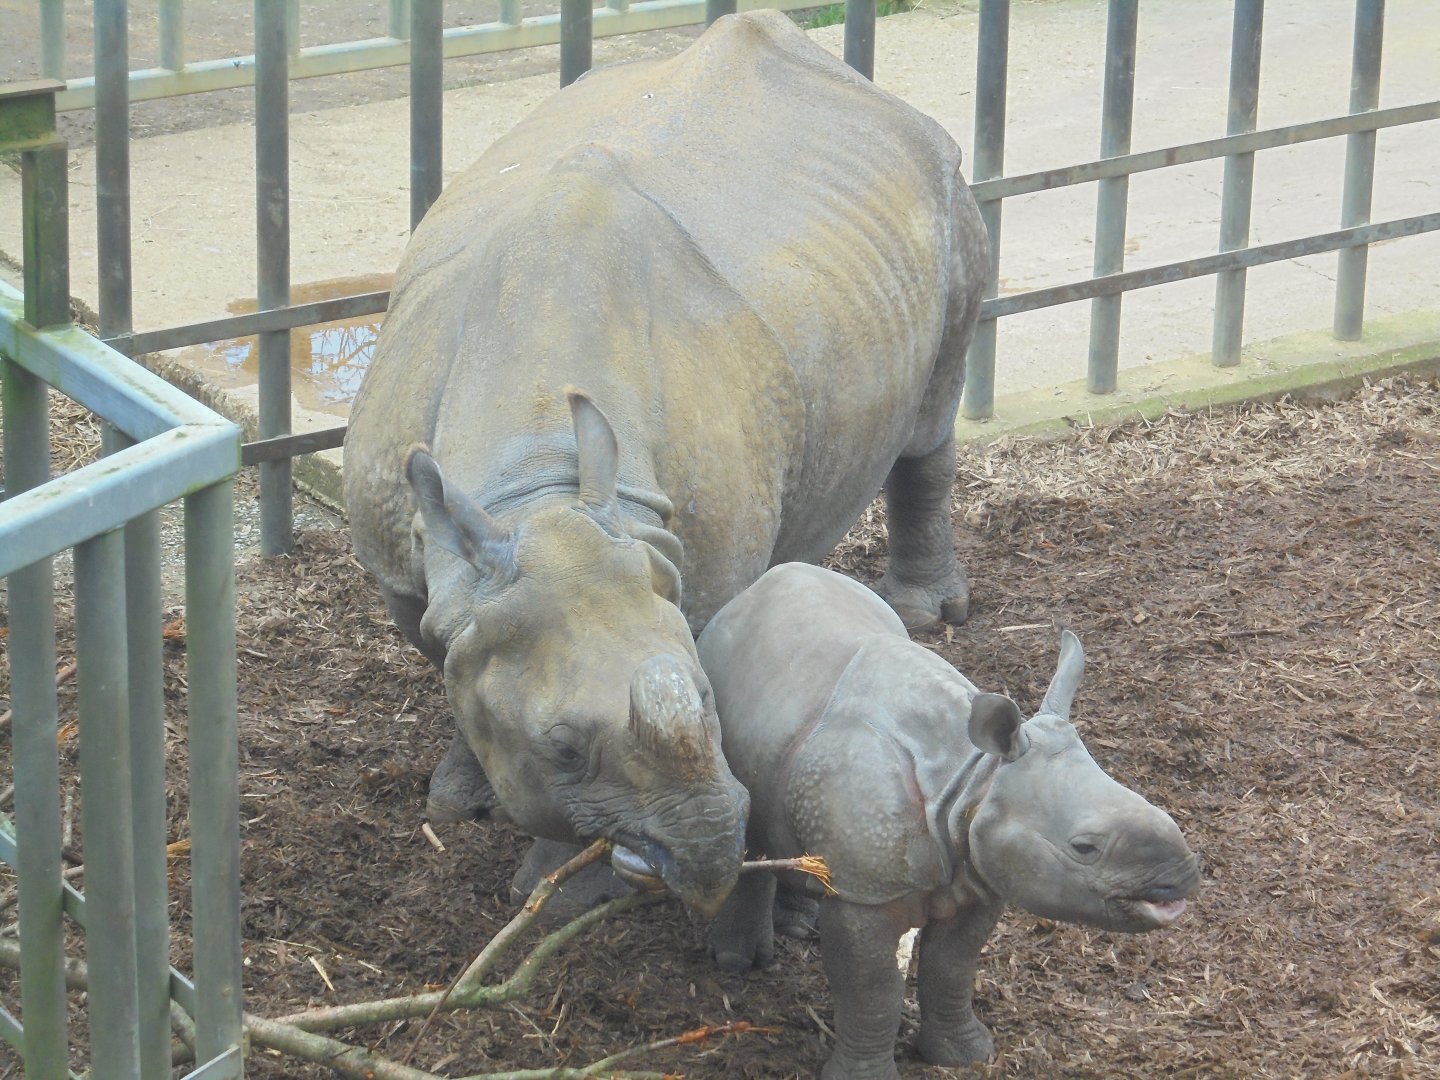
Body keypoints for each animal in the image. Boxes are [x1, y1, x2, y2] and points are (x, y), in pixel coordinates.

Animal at [342, 11, 989, 918]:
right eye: (560, 746)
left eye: (709, 703)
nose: (707, 846)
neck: (533, 485)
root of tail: (864, 88)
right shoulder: (409, 563)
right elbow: (446, 652)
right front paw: (462, 800)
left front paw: (556, 895)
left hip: (946, 179)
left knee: (932, 412)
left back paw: (926, 614)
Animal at [697, 563, 1202, 1079]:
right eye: (1084, 848)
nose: (1182, 879)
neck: (971, 778)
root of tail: (754, 589)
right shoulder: (869, 894)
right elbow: (872, 990)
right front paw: (868, 1073)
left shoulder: (980, 869)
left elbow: (952, 966)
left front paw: (967, 1055)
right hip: (713, 685)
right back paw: (737, 963)